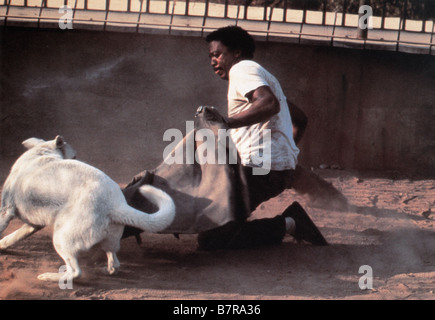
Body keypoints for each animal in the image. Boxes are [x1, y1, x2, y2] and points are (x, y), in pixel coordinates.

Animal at [2, 136, 175, 282]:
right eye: (74, 156)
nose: (78, 158)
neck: (41, 152)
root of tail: (115, 204)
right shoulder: (33, 224)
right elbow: (14, 236)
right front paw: (2, 245)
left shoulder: (6, 210)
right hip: (109, 241)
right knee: (114, 263)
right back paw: (104, 270)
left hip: (61, 238)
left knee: (75, 272)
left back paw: (50, 277)